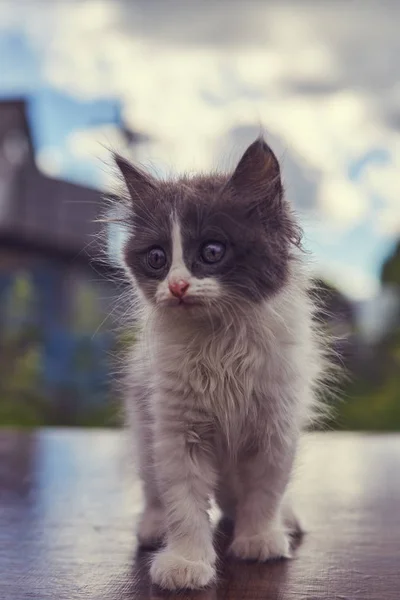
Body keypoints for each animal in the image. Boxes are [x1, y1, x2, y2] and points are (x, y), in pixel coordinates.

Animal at [114, 137, 326, 592]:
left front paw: (260, 539)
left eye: (212, 252)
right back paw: (154, 527)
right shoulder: (177, 429)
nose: (177, 286)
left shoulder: (275, 424)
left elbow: (265, 490)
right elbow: (183, 501)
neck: (220, 342)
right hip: (143, 428)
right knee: (154, 489)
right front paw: (185, 562)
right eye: (157, 258)